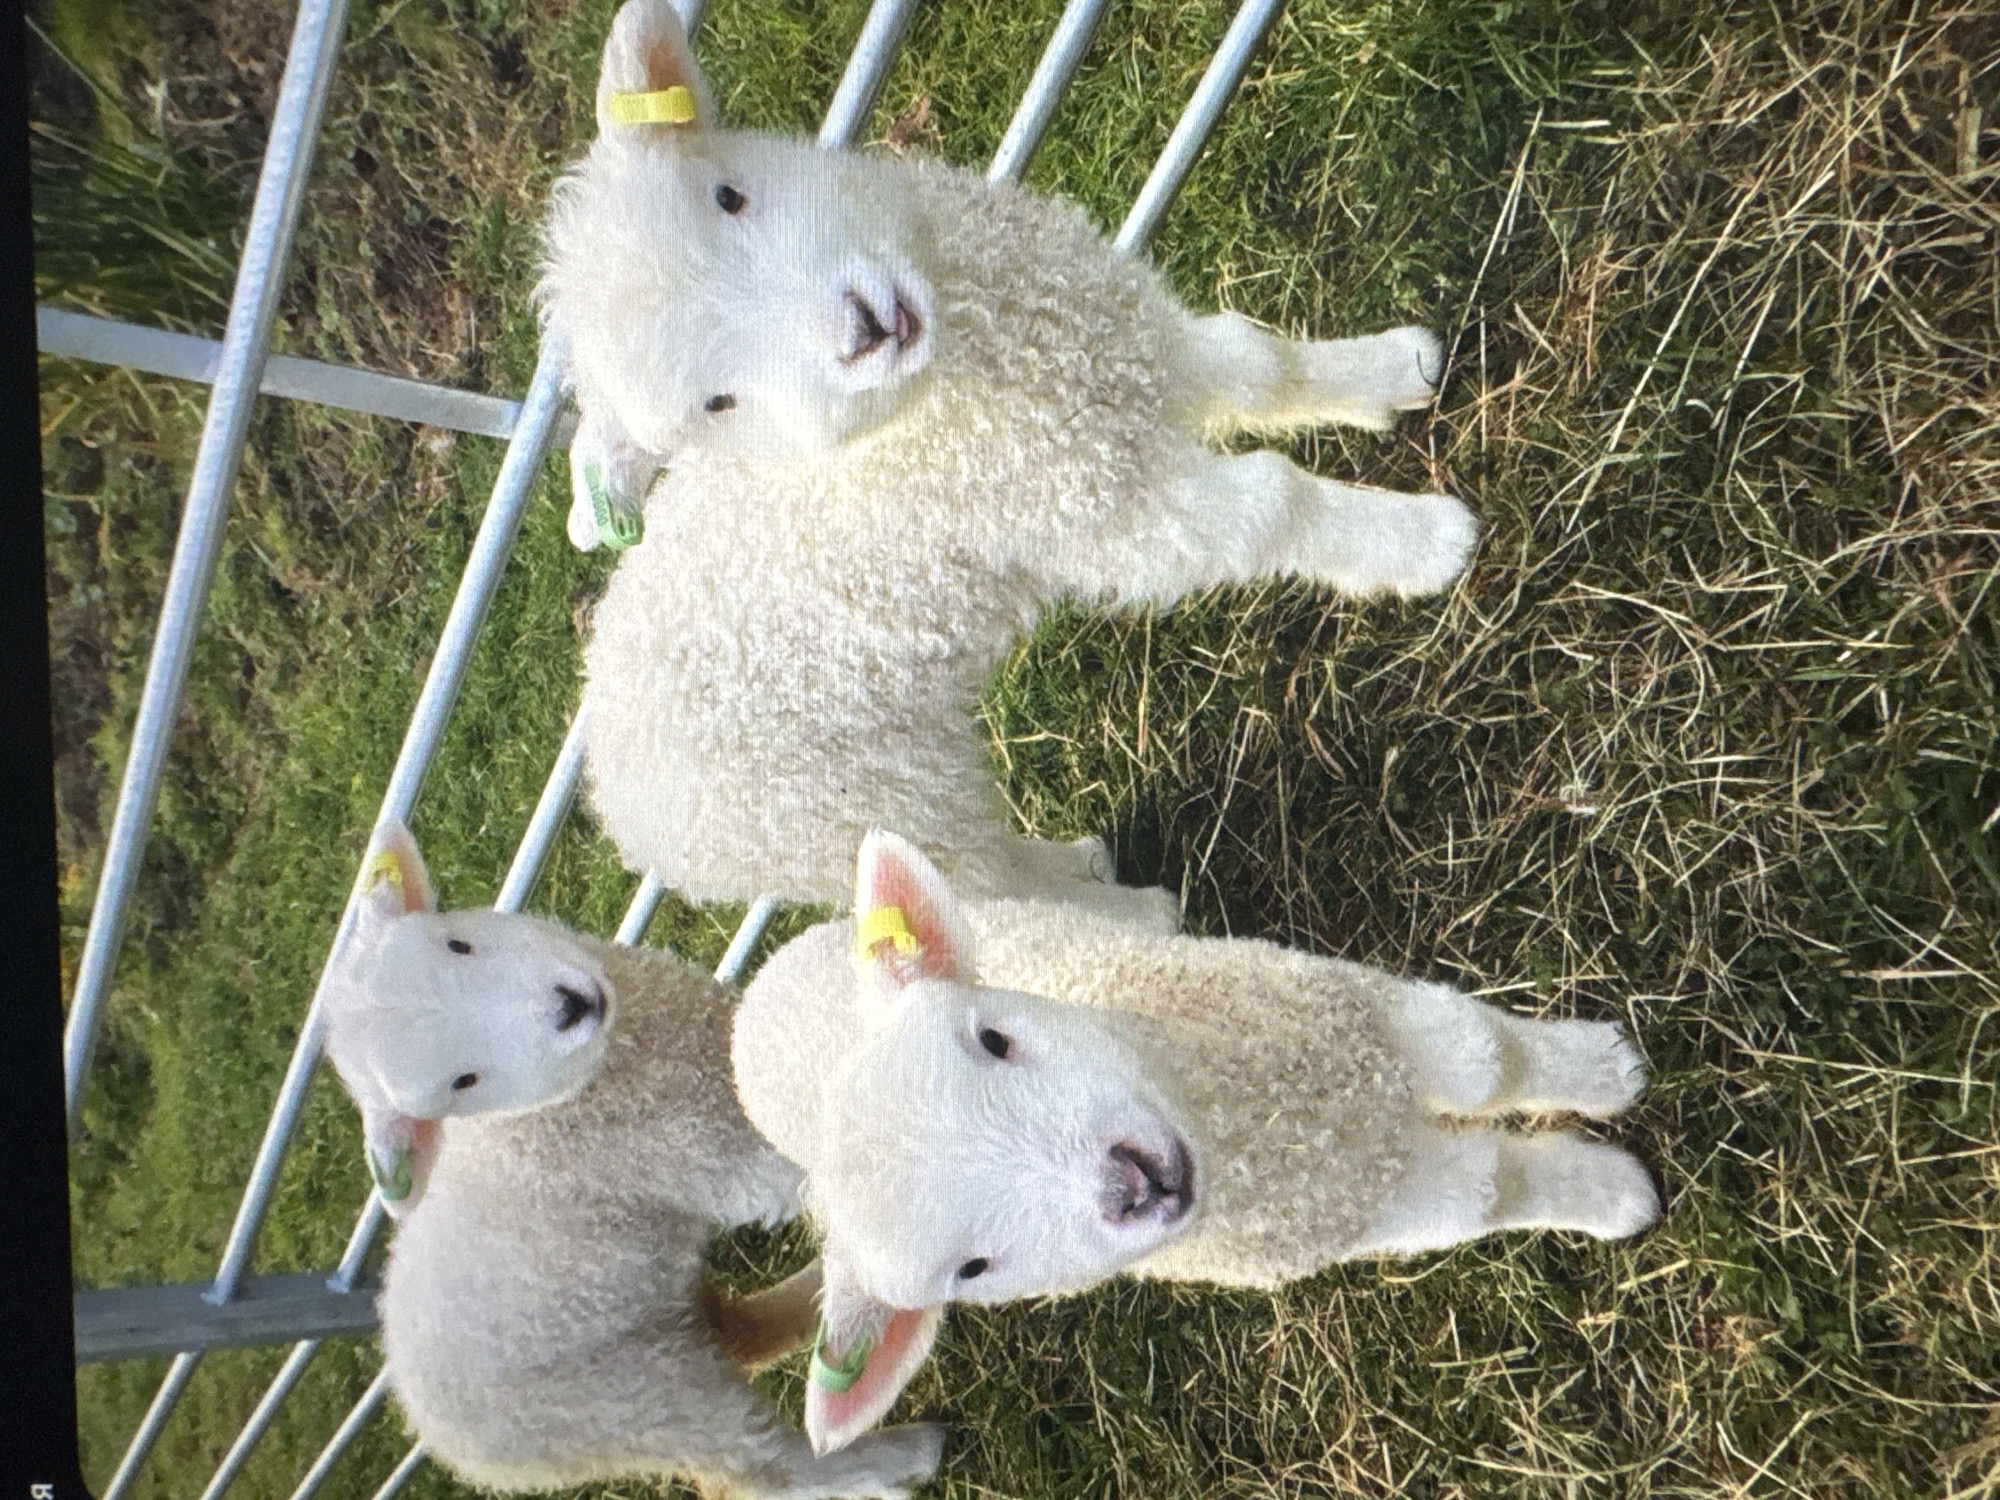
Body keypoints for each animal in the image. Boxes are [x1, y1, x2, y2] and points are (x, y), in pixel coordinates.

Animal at [320, 823, 944, 1499]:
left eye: (457, 943)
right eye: (463, 1082)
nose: (570, 1005)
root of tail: (420, 1415)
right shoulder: (705, 1158)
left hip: (655, 1324)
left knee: (736, 1334)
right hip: (627, 1398)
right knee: (755, 1467)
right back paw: (901, 1456)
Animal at [537, 0, 1481, 919]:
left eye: (729, 195)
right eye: (718, 405)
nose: (863, 329)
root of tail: (613, 797)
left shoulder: (1124, 341)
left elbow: (1258, 365)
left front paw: (1393, 370)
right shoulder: (1103, 514)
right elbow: (1272, 503)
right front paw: (1426, 545)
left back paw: (1088, 864)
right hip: (869, 806)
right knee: (992, 893)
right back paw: (1130, 914)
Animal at [731, 831, 1662, 1455]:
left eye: (992, 1036)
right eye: (970, 1271)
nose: (1132, 1184)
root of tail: (752, 1007)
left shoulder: (1356, 1007)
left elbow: (1485, 1059)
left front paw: (1604, 1069)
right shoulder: (1367, 1210)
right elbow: (1487, 1192)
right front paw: (1614, 1196)